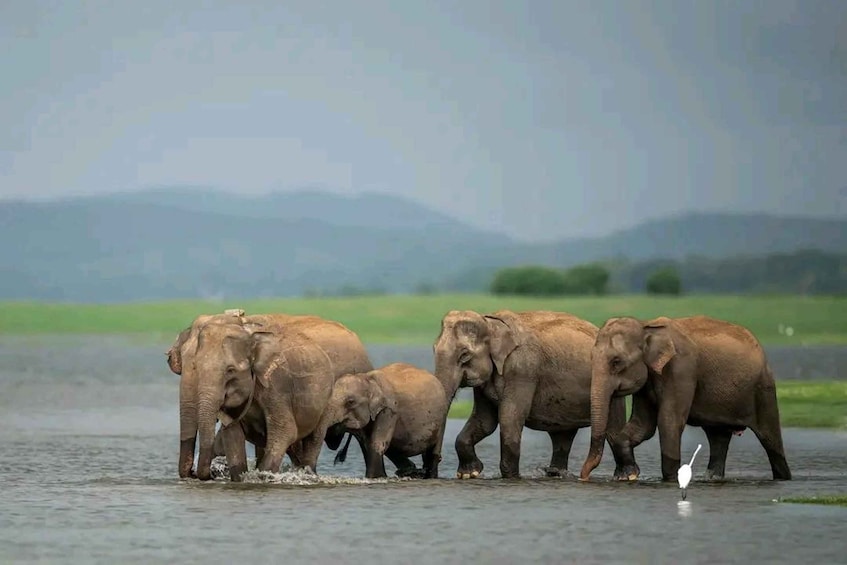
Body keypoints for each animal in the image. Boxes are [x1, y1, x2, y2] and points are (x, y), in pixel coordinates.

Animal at [167, 311, 381, 481]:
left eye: (230, 371)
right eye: (191, 366)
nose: (196, 473)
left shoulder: (276, 387)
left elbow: (286, 430)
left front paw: (261, 476)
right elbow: (233, 434)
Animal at [320, 362, 450, 479]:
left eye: (350, 402)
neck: (367, 379)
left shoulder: (389, 410)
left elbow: (377, 443)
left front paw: (374, 478)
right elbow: (367, 443)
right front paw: (381, 477)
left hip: (442, 416)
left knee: (433, 452)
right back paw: (410, 472)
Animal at [433, 309, 628, 480]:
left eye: (464, 355)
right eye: (434, 349)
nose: (436, 464)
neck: (490, 322)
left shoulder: (522, 369)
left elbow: (509, 417)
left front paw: (512, 477)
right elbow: (484, 421)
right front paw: (469, 474)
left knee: (613, 431)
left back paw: (624, 476)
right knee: (562, 438)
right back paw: (556, 473)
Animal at [578, 315, 792, 483]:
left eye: (616, 362)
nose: (584, 477)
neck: (646, 325)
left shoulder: (681, 368)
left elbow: (668, 421)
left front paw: (671, 480)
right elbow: (642, 426)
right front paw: (627, 475)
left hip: (763, 388)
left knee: (770, 439)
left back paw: (783, 478)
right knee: (718, 437)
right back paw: (713, 478)